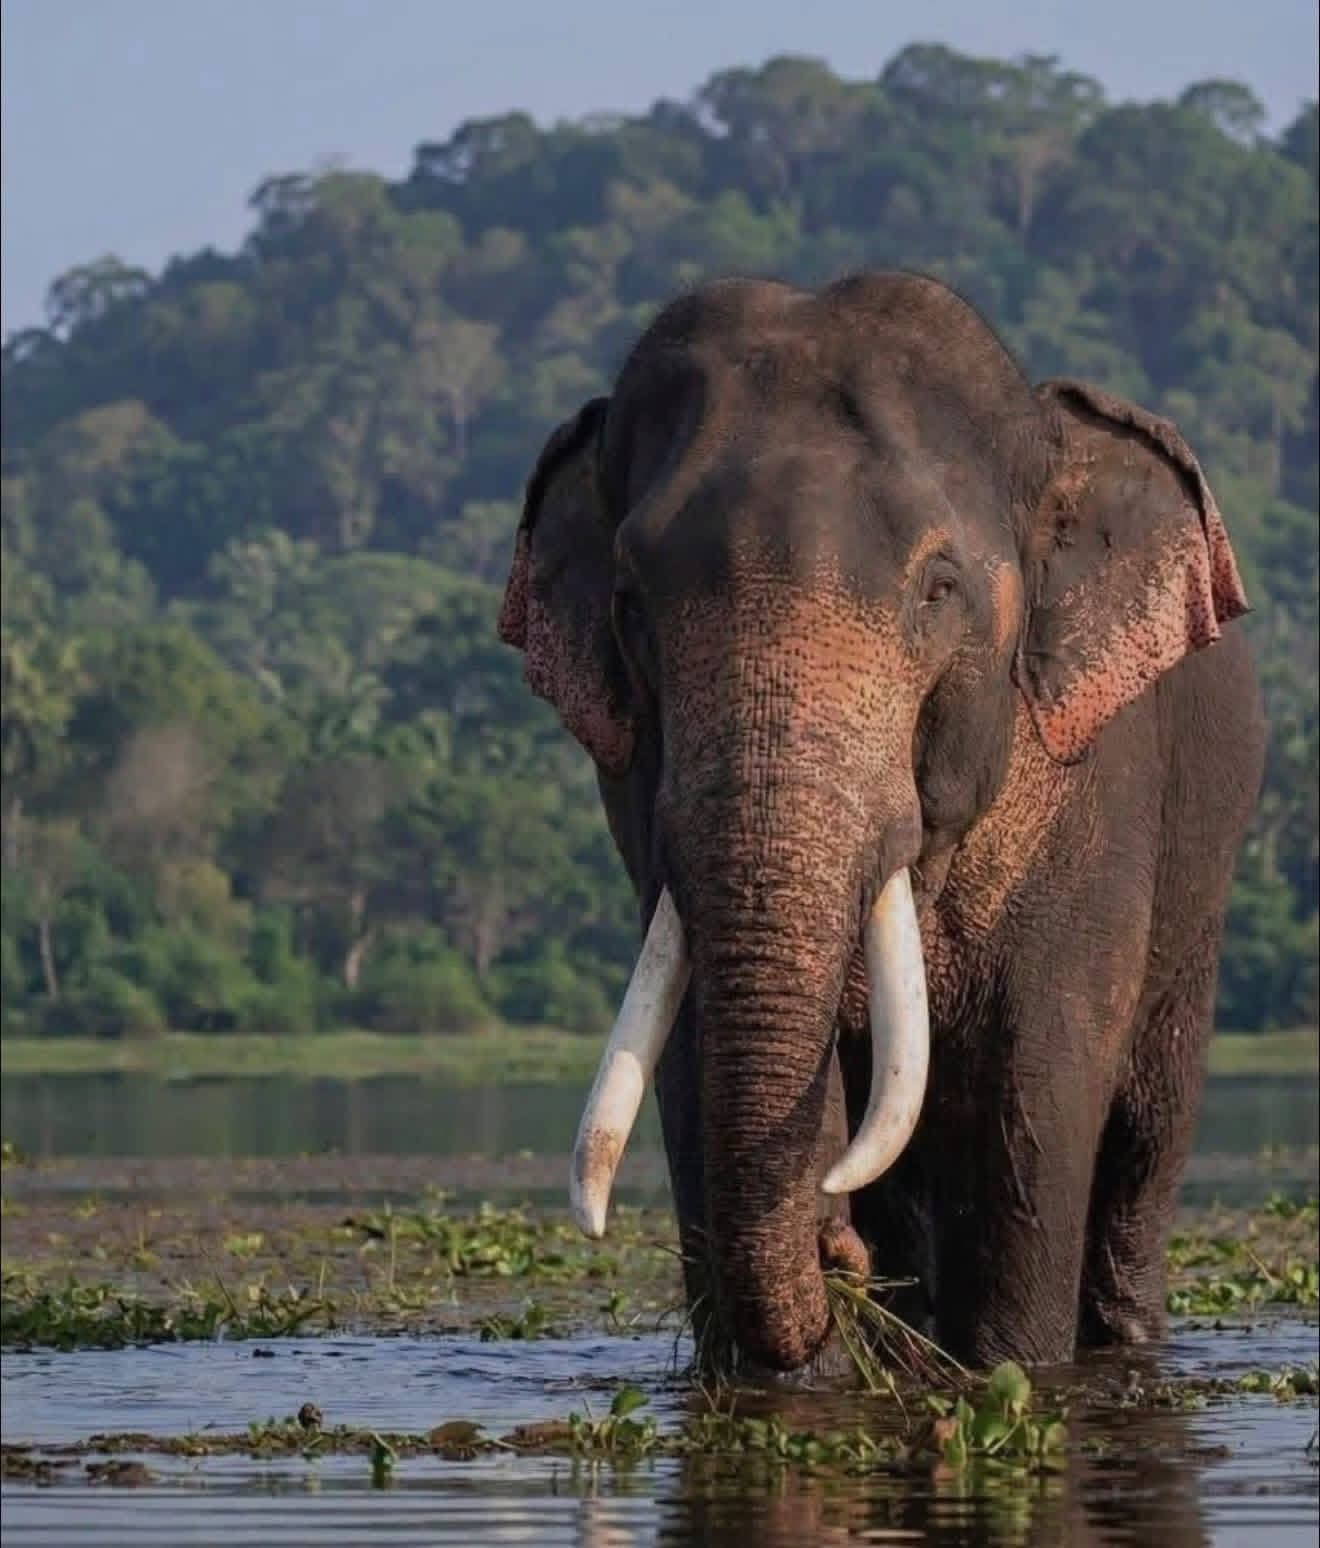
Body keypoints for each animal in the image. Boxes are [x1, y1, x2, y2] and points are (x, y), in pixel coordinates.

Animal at [496, 271, 1265, 1374]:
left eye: (939, 588)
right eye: (631, 603)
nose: (838, 1248)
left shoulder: (1098, 785)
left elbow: (1040, 1076)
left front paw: (1011, 1368)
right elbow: (687, 1061)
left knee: (1141, 1151)